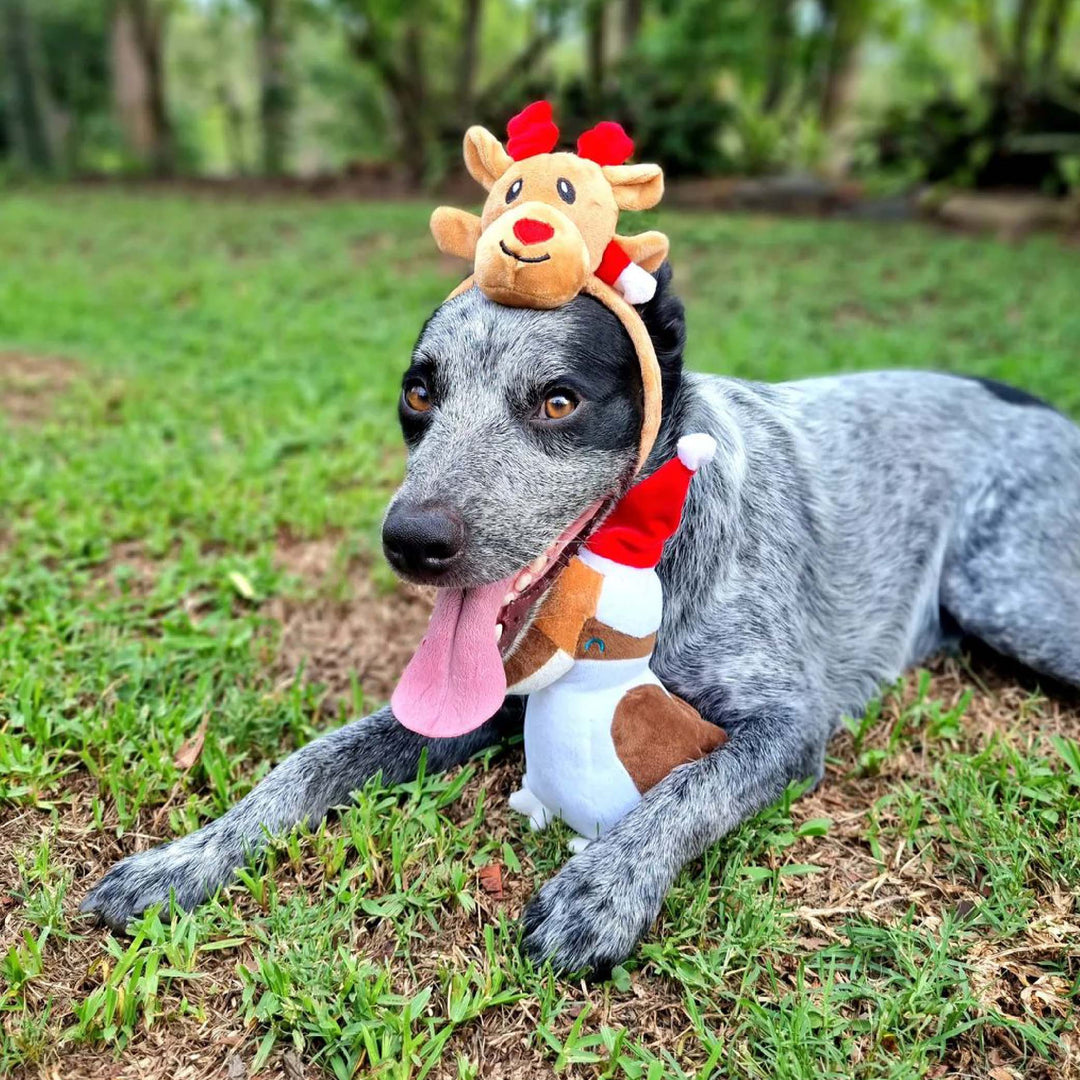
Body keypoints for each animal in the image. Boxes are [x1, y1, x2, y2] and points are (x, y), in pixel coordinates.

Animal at [82, 265, 1080, 976]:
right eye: (419, 393)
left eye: (558, 400)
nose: (411, 541)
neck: (639, 567)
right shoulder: (478, 704)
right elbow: (304, 765)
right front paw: (186, 858)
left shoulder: (788, 727)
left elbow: (689, 786)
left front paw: (603, 888)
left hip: (1004, 590)